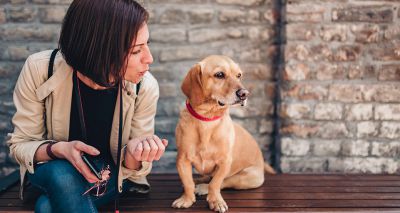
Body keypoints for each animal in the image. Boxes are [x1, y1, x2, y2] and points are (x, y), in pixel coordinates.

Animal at [172, 55, 276, 212]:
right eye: (219, 74)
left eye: (239, 75)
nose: (244, 94)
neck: (207, 119)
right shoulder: (182, 160)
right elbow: (188, 182)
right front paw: (187, 199)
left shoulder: (224, 162)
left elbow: (216, 183)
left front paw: (215, 201)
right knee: (203, 178)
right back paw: (198, 181)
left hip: (244, 178)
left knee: (223, 182)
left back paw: (202, 187)